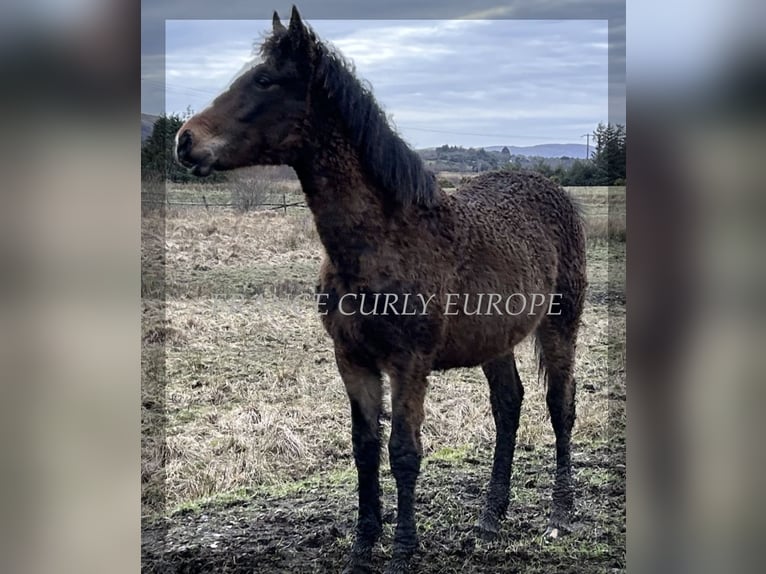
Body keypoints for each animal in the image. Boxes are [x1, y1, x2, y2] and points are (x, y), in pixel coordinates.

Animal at [178, 6, 588, 572]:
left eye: (264, 80)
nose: (184, 140)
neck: (384, 240)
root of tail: (553, 190)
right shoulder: (352, 360)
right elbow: (365, 447)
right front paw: (362, 545)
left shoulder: (408, 363)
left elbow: (404, 451)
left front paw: (402, 549)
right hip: (495, 339)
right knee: (508, 406)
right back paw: (490, 517)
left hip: (560, 323)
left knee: (560, 405)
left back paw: (560, 513)